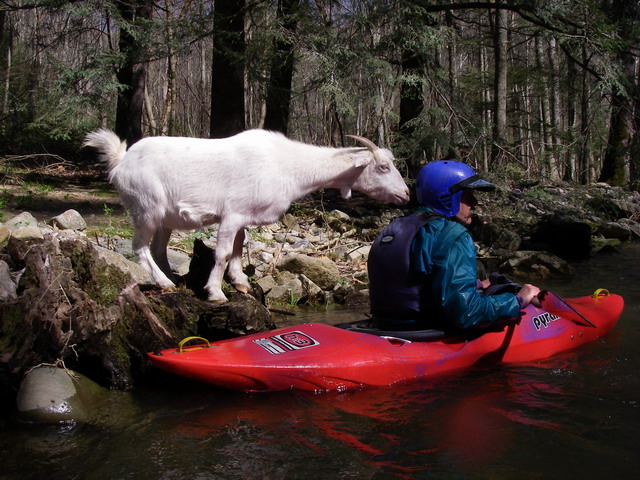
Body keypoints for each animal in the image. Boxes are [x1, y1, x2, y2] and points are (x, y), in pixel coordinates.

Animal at [83, 128, 410, 302]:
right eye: (383, 167)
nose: (406, 195)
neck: (287, 165)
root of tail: (121, 160)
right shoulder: (231, 215)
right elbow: (224, 253)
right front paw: (216, 292)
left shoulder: (244, 218)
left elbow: (239, 250)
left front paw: (241, 283)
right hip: (145, 208)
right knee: (139, 247)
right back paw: (164, 283)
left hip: (163, 218)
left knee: (158, 248)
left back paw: (171, 278)